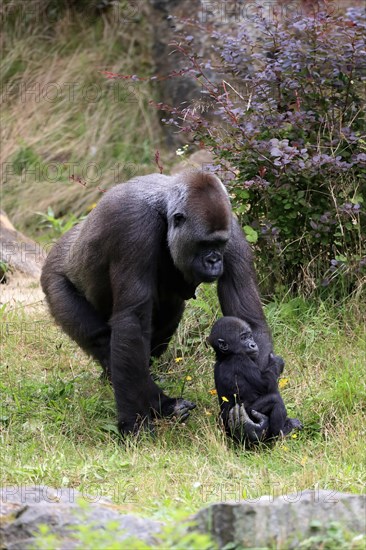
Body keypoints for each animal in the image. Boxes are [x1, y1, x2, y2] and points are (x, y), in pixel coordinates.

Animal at [41, 172, 274, 440]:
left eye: (219, 244)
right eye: (204, 244)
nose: (215, 261)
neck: (164, 208)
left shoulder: (232, 230)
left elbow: (247, 317)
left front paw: (256, 410)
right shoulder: (134, 226)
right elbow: (131, 321)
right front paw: (135, 423)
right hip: (55, 283)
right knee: (101, 339)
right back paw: (159, 403)